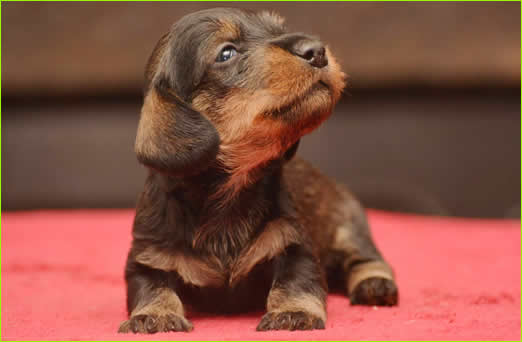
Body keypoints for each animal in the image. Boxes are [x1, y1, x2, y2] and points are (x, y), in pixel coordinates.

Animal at [118, 8, 396, 334]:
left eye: (278, 30)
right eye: (226, 53)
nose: (317, 50)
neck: (229, 192)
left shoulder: (296, 245)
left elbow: (295, 282)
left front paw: (293, 312)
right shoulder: (147, 259)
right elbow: (152, 288)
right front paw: (155, 315)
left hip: (348, 224)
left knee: (364, 258)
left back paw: (375, 284)